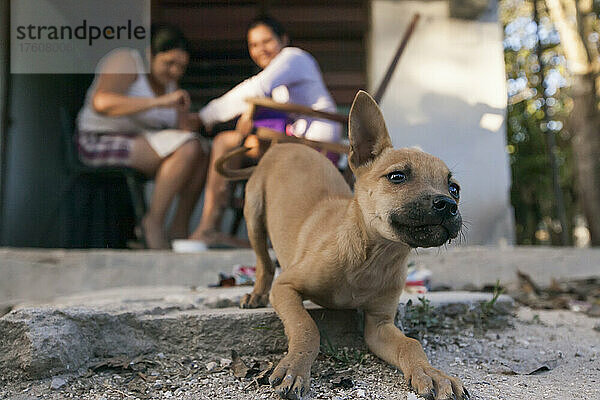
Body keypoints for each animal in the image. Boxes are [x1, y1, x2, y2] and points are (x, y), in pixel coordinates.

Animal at [216, 91, 468, 400]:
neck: (373, 257)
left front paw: (430, 373)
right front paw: (295, 367)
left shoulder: (379, 326)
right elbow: (306, 327)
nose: (448, 205)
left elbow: (411, 344)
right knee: (264, 263)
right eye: (397, 176)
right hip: (253, 215)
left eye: (454, 189)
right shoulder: (285, 287)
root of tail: (282, 147)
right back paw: (255, 295)